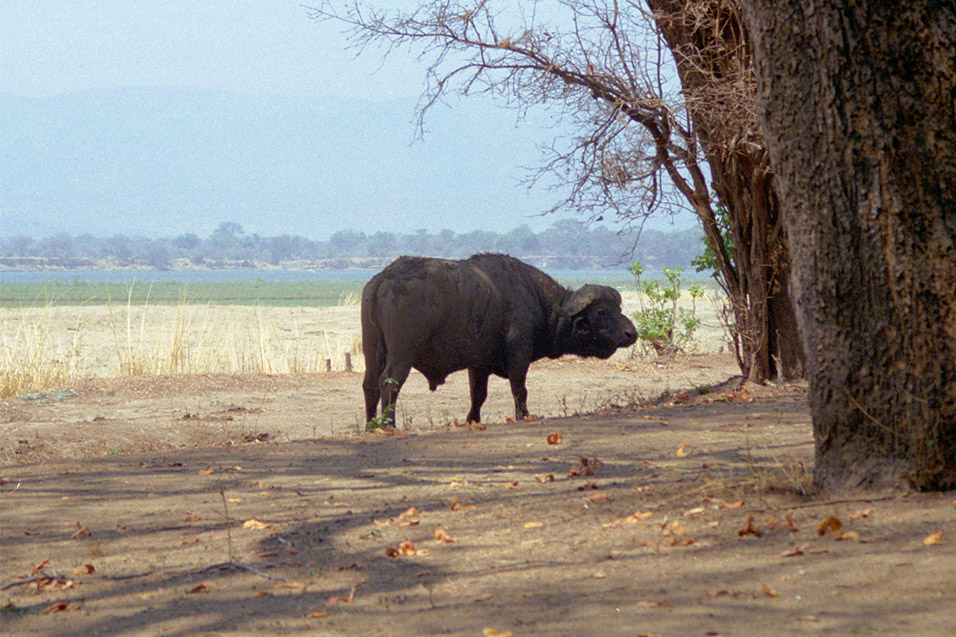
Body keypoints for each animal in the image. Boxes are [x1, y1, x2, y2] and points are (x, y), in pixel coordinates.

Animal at [358, 253, 636, 428]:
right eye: (602, 312)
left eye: (619, 308)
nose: (631, 333)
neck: (537, 299)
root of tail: (384, 278)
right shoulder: (519, 355)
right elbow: (519, 390)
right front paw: (523, 416)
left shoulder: (477, 366)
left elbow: (478, 395)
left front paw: (472, 420)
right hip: (401, 354)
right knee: (389, 382)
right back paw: (388, 424)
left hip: (372, 350)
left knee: (370, 384)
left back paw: (371, 425)